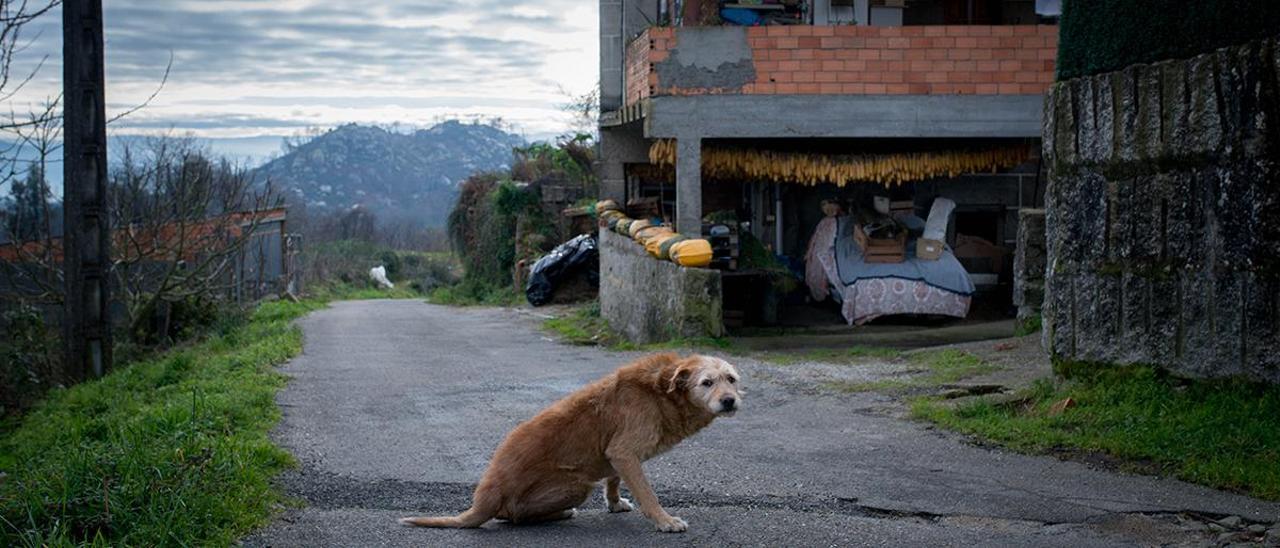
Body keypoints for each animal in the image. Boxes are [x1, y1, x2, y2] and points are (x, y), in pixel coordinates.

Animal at [396, 353, 742, 532]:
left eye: (732, 379)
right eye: (706, 383)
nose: (729, 401)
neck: (662, 392)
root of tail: (486, 498)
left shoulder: (615, 454)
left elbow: (614, 479)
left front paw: (615, 503)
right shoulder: (625, 451)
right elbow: (648, 494)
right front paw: (665, 521)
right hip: (576, 486)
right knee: (513, 516)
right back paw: (558, 514)